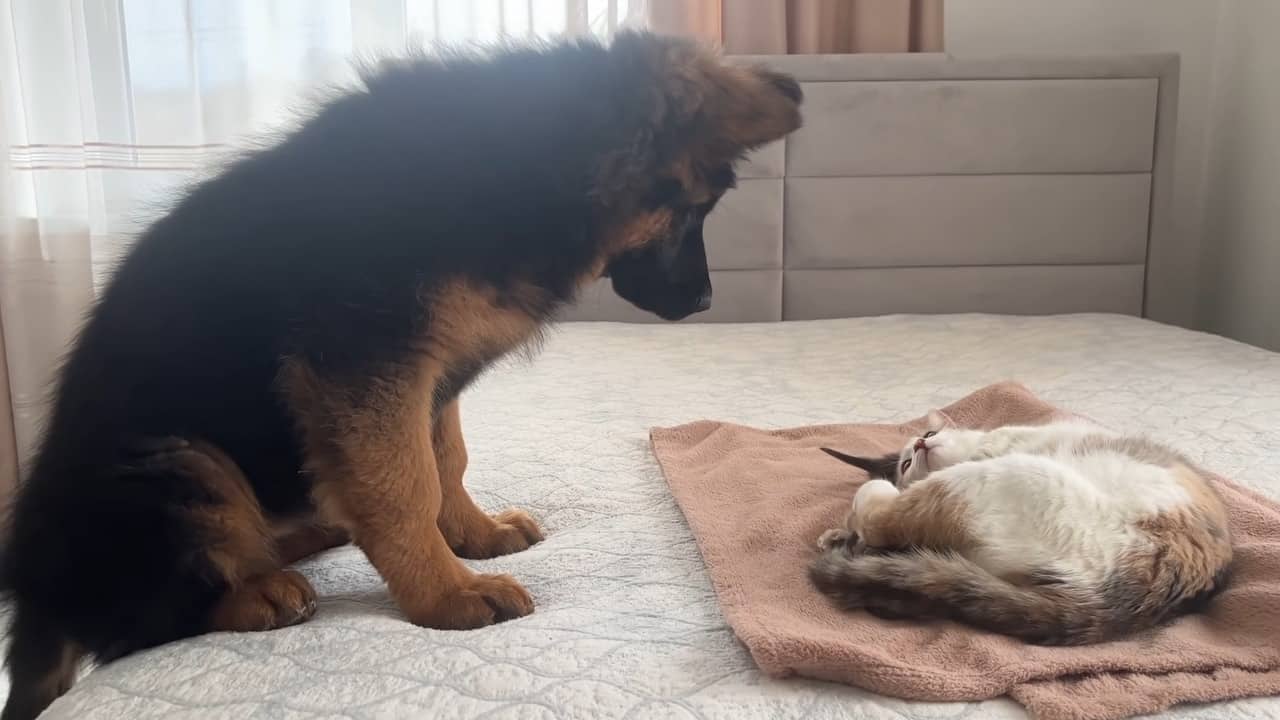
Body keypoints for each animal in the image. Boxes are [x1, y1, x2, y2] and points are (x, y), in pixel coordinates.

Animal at [0, 30, 798, 712]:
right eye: (693, 210)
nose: (704, 301)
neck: (523, 165)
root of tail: (34, 592)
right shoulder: (366, 365)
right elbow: (404, 485)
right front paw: (444, 593)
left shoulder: (430, 375)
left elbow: (445, 461)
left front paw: (474, 535)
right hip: (179, 466)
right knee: (140, 621)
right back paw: (254, 591)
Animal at [814, 409, 1233, 645]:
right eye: (905, 463)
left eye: (930, 435)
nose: (920, 442)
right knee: (881, 524)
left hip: (1007, 476)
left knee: (880, 520)